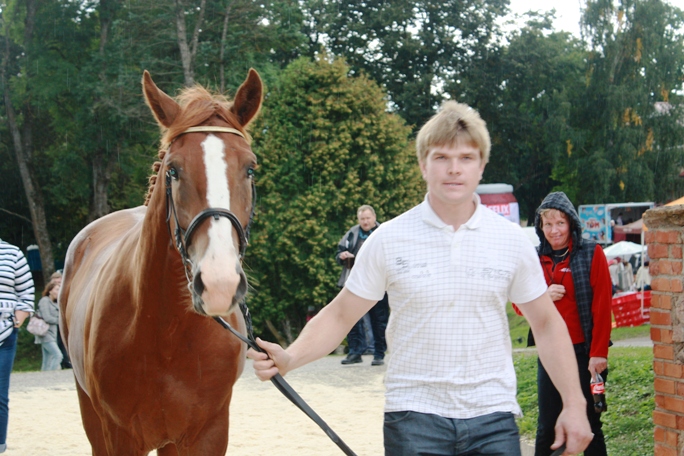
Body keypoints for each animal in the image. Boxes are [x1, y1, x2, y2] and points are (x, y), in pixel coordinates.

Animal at [59, 68, 262, 456]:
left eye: (250, 169)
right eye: (174, 170)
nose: (219, 284)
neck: (167, 334)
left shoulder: (208, 433)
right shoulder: (119, 435)